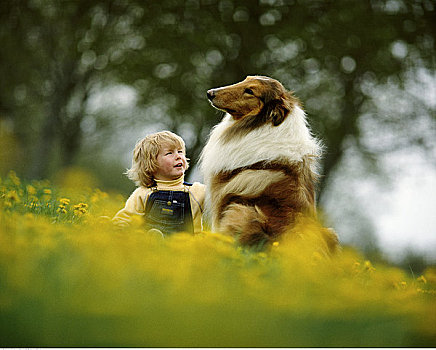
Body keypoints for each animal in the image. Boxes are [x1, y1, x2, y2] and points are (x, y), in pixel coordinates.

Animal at [199, 76, 338, 252]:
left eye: (250, 91)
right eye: (245, 79)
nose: (210, 93)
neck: (263, 123)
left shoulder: (220, 200)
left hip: (243, 212)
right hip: (330, 233)